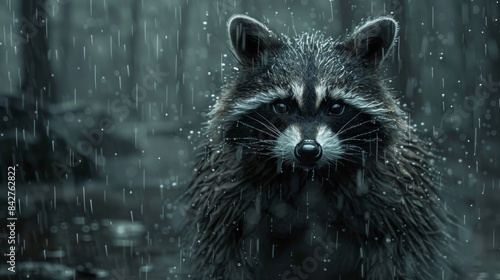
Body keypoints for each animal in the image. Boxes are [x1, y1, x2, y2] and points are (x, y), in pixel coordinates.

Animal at [179, 15, 460, 280]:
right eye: (282, 106)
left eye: (335, 107)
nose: (308, 150)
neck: (307, 177)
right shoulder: (226, 194)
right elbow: (224, 257)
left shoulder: (396, 194)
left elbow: (403, 255)